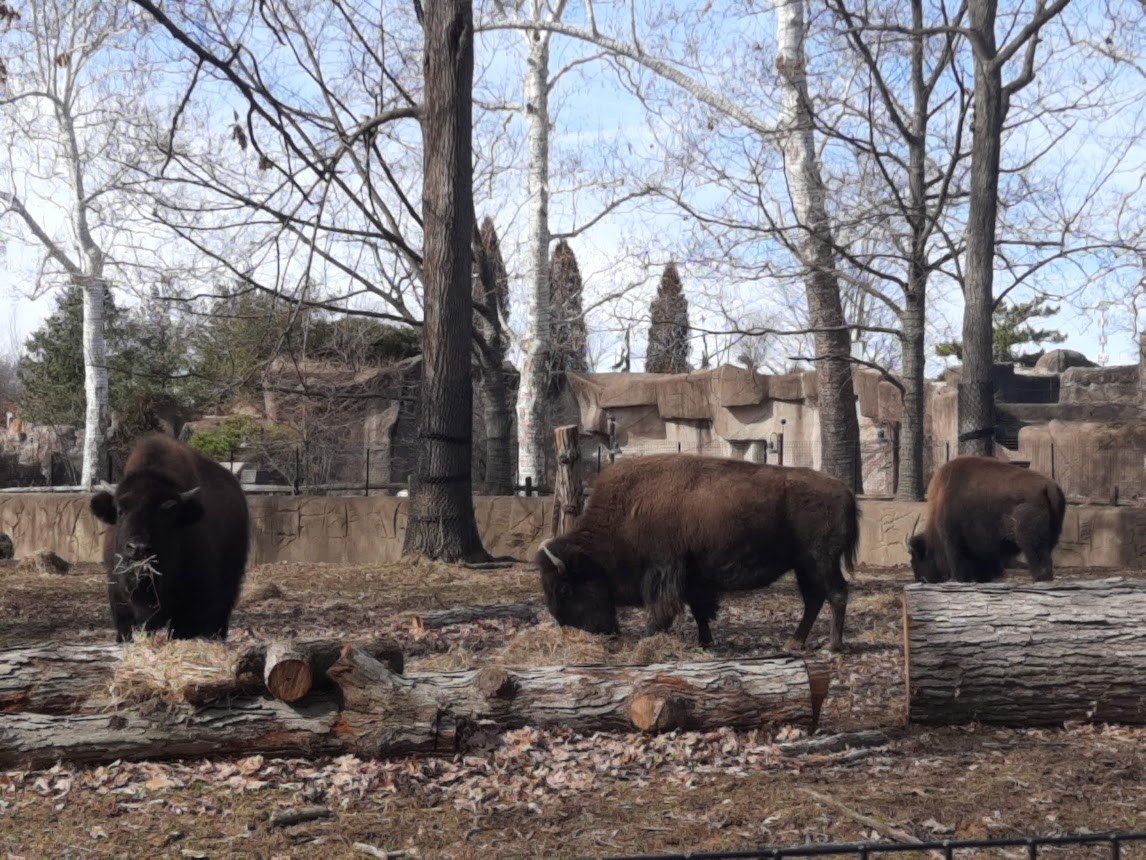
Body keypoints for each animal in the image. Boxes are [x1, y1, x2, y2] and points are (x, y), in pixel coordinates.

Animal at [537, 453, 859, 652]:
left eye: (564, 588)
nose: (573, 629)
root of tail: (845, 489)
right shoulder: (693, 577)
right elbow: (699, 609)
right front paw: (704, 641)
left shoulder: (663, 569)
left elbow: (663, 607)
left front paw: (648, 636)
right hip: (803, 565)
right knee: (814, 599)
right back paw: (794, 643)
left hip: (821, 560)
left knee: (837, 593)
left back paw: (832, 647)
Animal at [906, 455, 1066, 584]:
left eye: (916, 558)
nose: (921, 579)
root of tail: (1049, 486)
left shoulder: (953, 543)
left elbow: (959, 571)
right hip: (1051, 538)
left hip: (1030, 543)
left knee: (1040, 565)